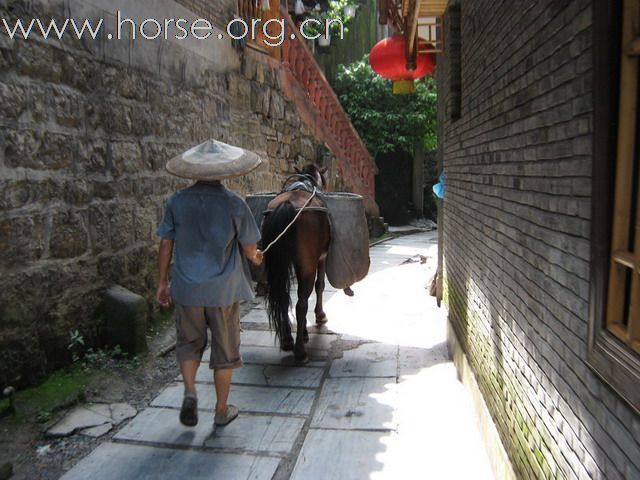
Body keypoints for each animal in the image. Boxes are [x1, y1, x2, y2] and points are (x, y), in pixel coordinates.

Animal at [260, 165, 330, 364]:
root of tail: (287, 204)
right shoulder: (321, 258)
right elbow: (319, 286)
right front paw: (319, 316)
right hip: (307, 265)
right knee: (301, 304)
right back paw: (300, 351)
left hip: (275, 264)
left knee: (282, 297)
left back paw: (287, 340)